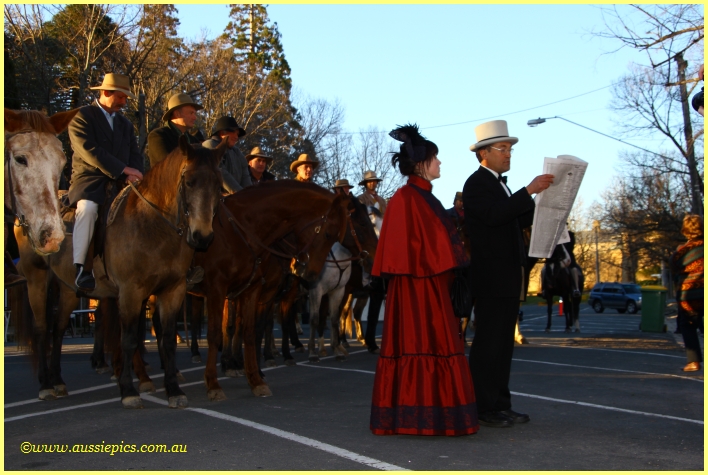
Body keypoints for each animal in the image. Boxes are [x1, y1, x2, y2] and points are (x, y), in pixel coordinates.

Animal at [18, 136, 225, 408]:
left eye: (218, 185)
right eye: (189, 182)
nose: (203, 237)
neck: (152, 226)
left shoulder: (173, 290)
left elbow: (168, 339)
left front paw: (173, 389)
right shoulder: (130, 292)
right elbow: (128, 340)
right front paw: (128, 390)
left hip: (69, 289)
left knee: (59, 329)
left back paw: (58, 380)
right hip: (37, 280)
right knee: (42, 329)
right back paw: (45, 385)